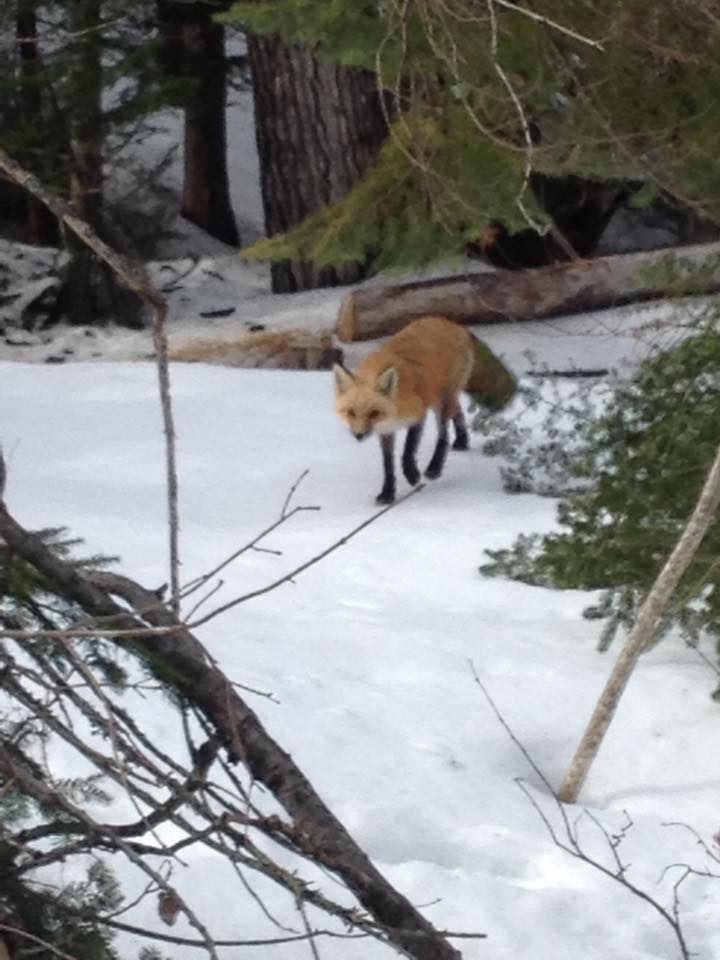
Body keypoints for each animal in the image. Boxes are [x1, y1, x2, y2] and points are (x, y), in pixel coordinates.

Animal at [334, 318, 516, 506]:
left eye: (374, 413)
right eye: (351, 412)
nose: (359, 435)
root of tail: (454, 324)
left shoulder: (418, 413)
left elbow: (408, 450)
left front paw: (412, 475)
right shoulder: (386, 431)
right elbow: (388, 464)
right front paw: (387, 493)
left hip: (441, 402)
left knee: (444, 436)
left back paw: (435, 467)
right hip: (442, 397)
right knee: (458, 412)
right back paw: (462, 440)